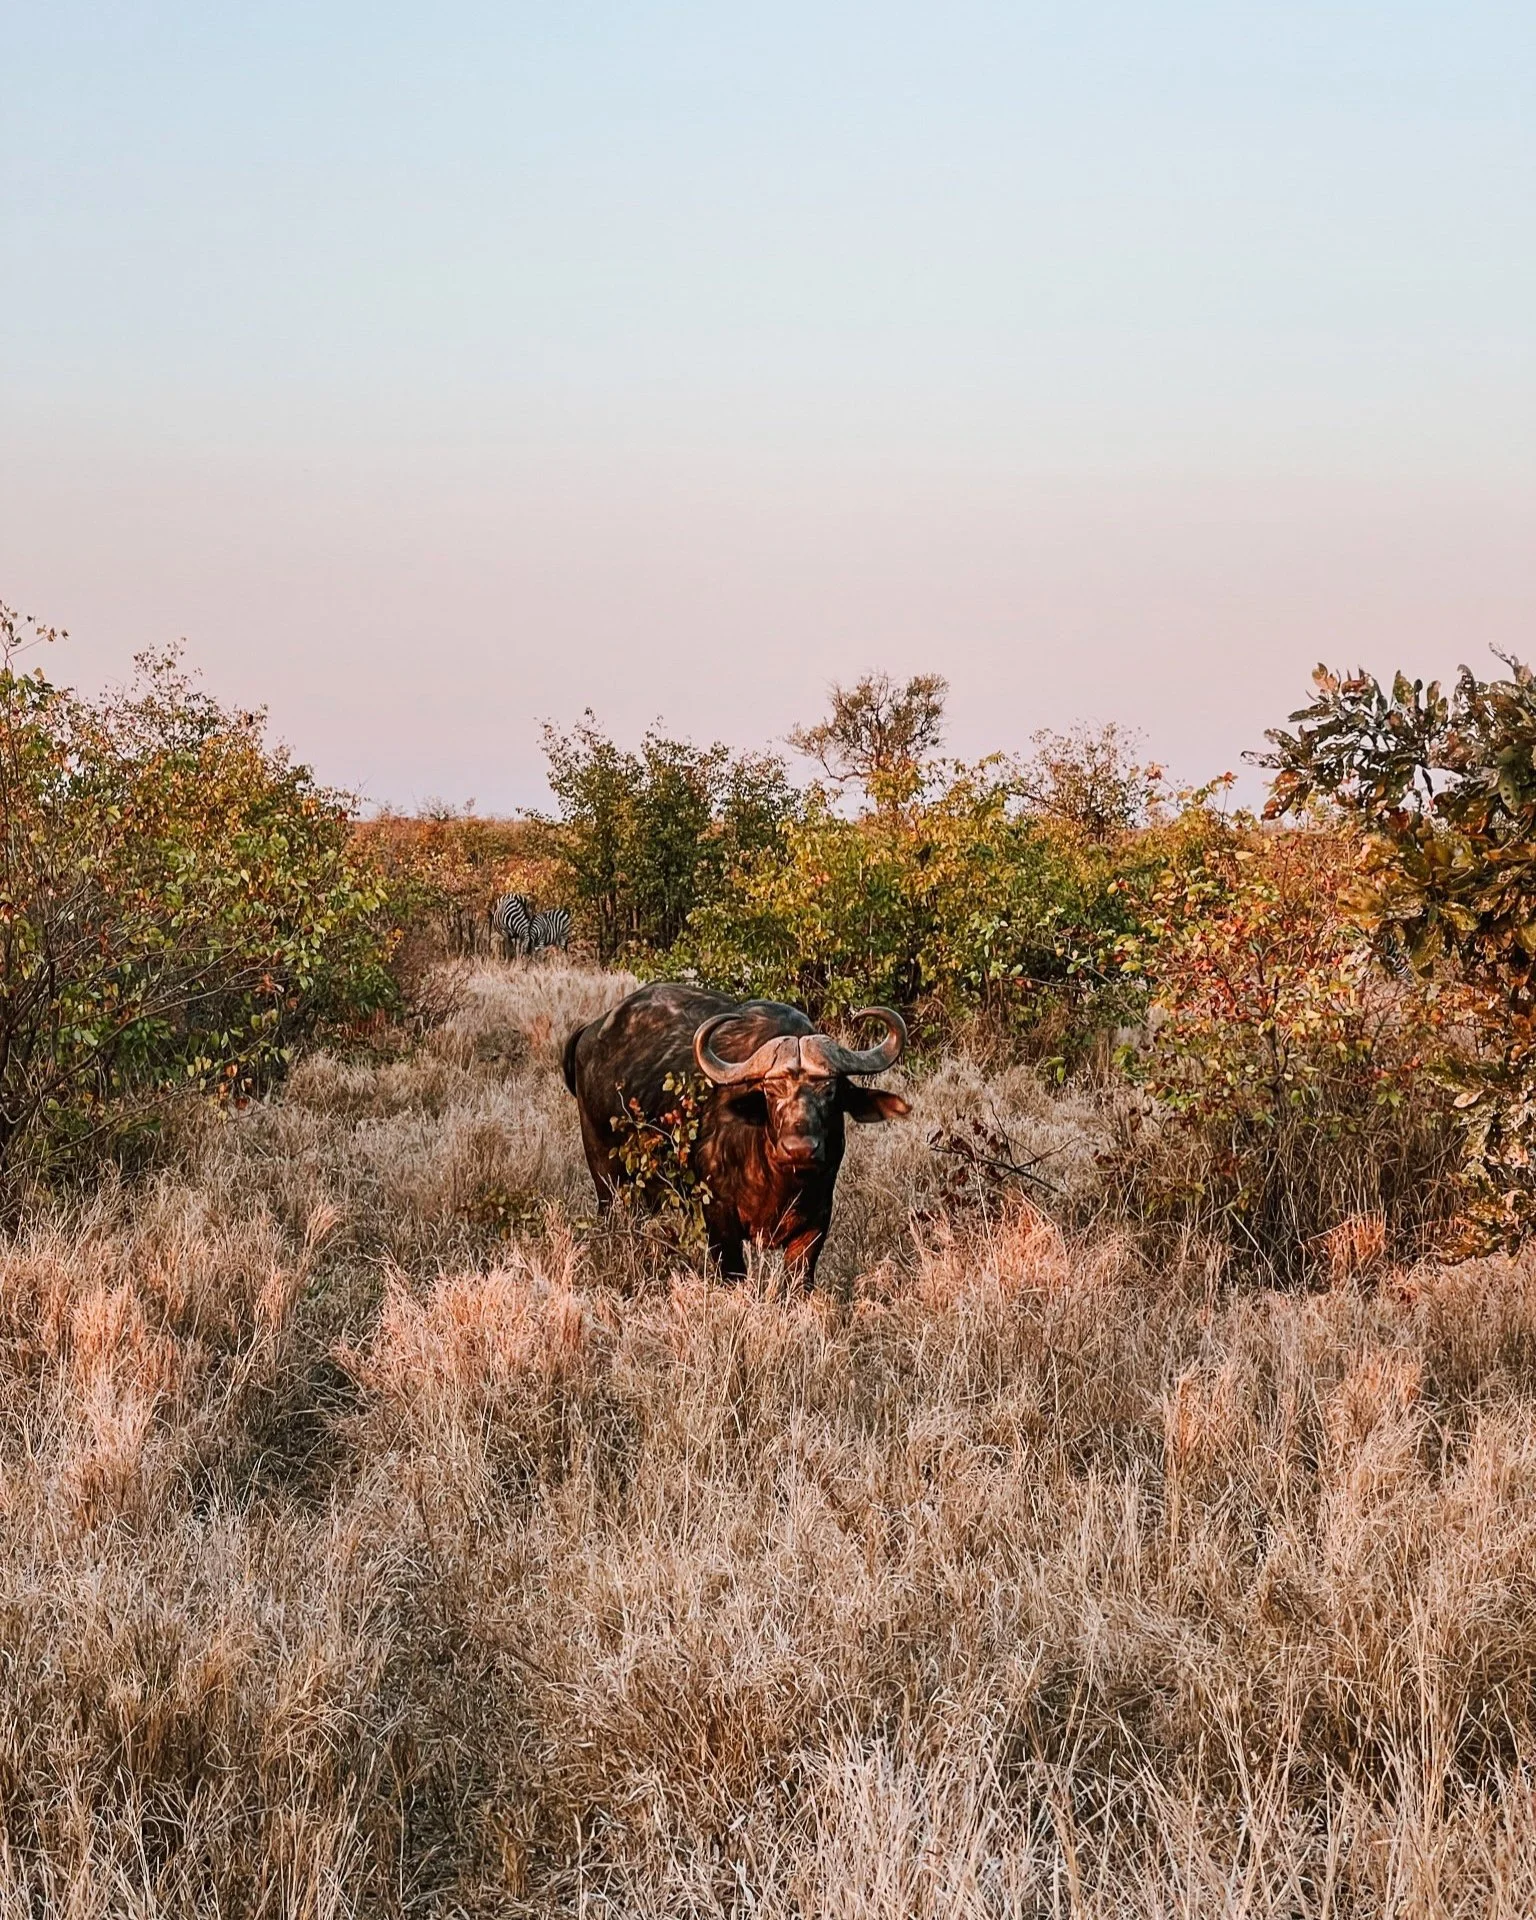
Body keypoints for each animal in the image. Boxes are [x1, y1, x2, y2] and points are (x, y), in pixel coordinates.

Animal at [562, 983, 910, 1285]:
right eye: (771, 1090)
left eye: (830, 1091)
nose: (799, 1149)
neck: (780, 1181)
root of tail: (592, 1031)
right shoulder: (718, 1220)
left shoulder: (816, 1223)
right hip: (607, 1179)